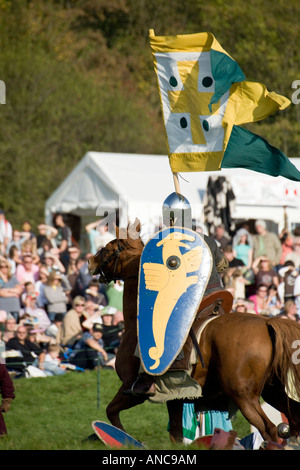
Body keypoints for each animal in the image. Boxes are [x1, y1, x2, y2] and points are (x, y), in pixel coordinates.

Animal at [89, 224, 300, 444]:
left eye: (109, 248)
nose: (90, 261)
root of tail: (267, 322)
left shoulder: (130, 389)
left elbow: (111, 411)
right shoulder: (174, 395)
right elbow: (175, 434)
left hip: (244, 397)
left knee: (270, 430)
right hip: (272, 391)